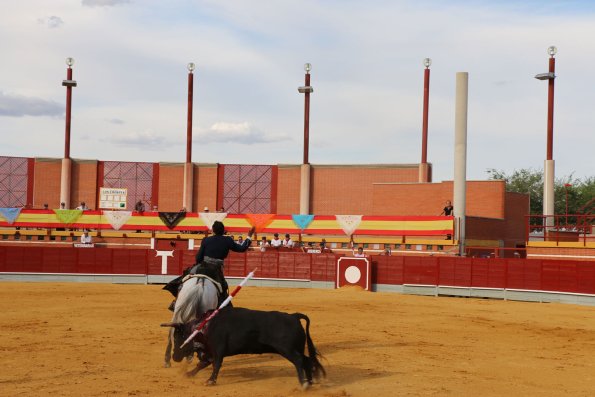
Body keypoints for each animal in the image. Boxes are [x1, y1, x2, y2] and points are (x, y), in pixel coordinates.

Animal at [165, 306, 328, 386]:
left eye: (178, 337)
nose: (174, 356)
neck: (205, 325)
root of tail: (294, 316)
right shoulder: (211, 351)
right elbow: (203, 364)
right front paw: (188, 374)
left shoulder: (218, 350)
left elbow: (216, 364)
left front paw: (210, 381)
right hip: (296, 348)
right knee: (307, 361)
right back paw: (310, 382)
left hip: (287, 349)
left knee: (299, 361)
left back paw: (303, 383)